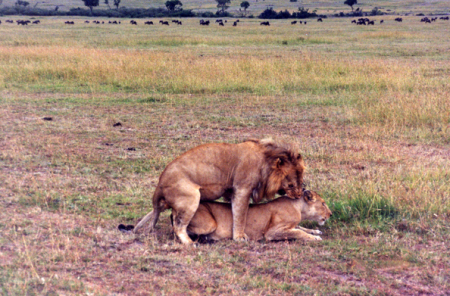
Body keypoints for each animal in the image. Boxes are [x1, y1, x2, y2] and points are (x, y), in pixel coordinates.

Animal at [132, 139, 304, 245]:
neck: (265, 161)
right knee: (179, 225)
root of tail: (160, 184)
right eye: (291, 185)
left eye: (301, 180)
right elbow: (240, 215)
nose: (299, 195)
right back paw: (190, 243)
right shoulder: (242, 189)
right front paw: (239, 237)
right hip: (192, 198)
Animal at [185, 191, 330, 242]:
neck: (298, 207)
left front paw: (315, 231)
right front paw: (315, 237)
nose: (331, 214)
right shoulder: (272, 232)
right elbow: (299, 232)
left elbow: (301, 228)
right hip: (210, 224)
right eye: (323, 203)